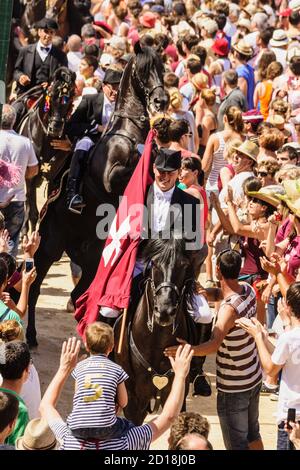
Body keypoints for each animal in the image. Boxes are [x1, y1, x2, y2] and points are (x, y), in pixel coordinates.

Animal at [18, 66, 76, 233]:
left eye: (70, 97)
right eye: (51, 95)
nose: (55, 127)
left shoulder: (52, 176)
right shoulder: (29, 175)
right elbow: (30, 202)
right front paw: (24, 230)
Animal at [27, 45, 169, 346]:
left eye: (162, 68)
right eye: (143, 69)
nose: (161, 101)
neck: (128, 132)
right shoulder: (109, 177)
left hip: (92, 261)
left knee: (77, 294)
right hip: (49, 247)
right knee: (34, 287)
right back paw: (31, 335)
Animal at [115, 237, 202, 424]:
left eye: (183, 264)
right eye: (154, 263)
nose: (164, 311)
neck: (156, 342)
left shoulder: (177, 394)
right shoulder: (133, 401)